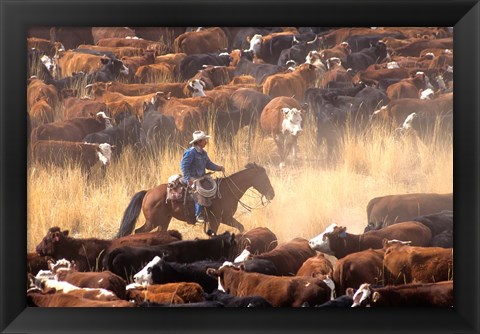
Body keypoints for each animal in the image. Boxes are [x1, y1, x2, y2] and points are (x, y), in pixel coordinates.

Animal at [114, 162, 276, 237]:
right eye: (264, 178)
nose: (272, 194)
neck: (227, 191)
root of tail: (148, 192)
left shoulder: (227, 218)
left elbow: (241, 227)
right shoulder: (216, 220)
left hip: (163, 221)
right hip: (152, 221)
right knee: (138, 231)